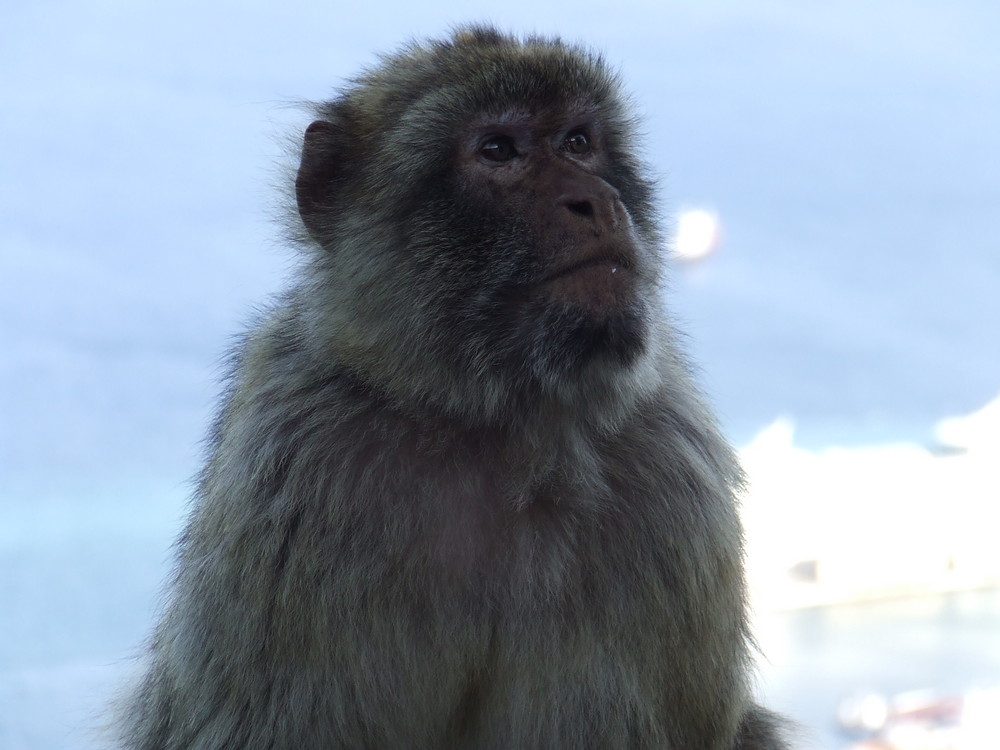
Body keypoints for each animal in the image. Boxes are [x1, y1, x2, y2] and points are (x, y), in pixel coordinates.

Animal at [117, 25, 788, 750]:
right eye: (497, 150)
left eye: (579, 142)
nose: (596, 201)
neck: (497, 429)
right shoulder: (291, 476)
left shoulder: (674, 492)